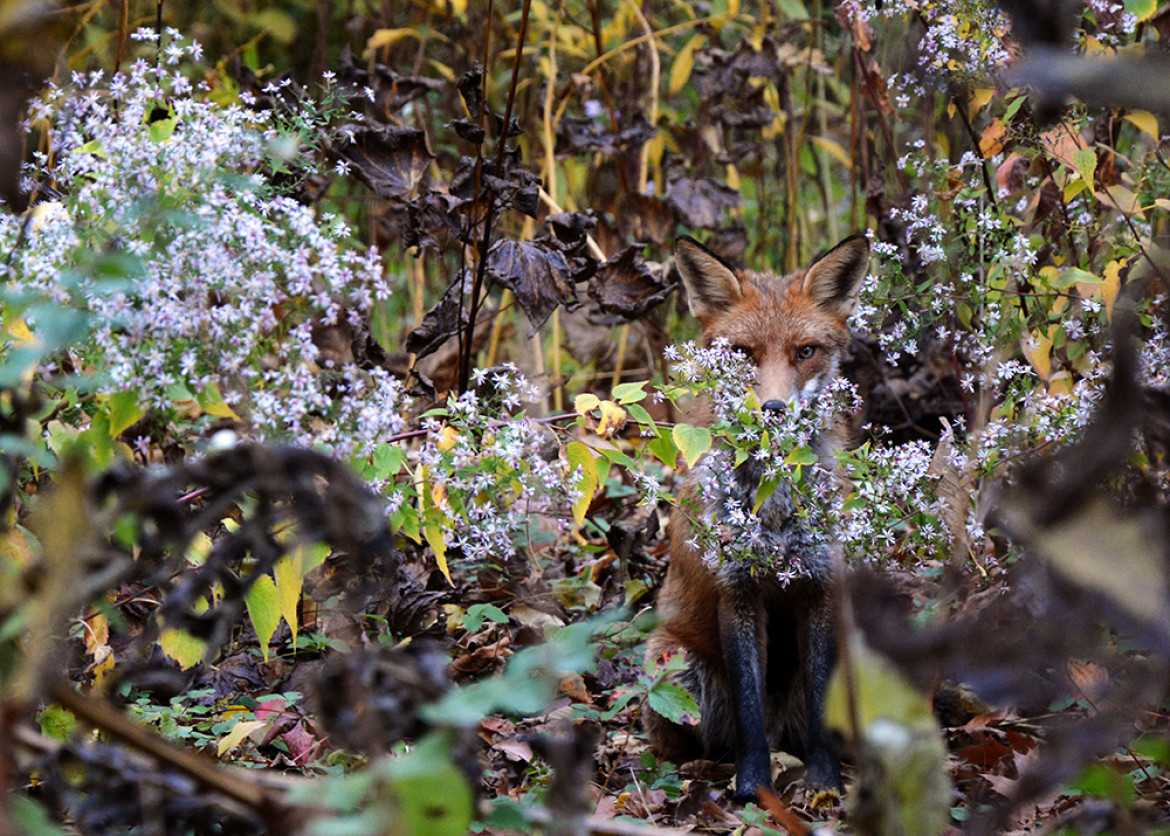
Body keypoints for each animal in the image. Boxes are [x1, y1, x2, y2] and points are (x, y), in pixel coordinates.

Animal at [650, 232, 870, 799]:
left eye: (806, 352)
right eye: (742, 353)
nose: (772, 410)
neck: (773, 510)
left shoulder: (819, 583)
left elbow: (820, 706)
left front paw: (824, 781)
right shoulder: (737, 588)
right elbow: (749, 712)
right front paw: (753, 787)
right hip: (674, 668)